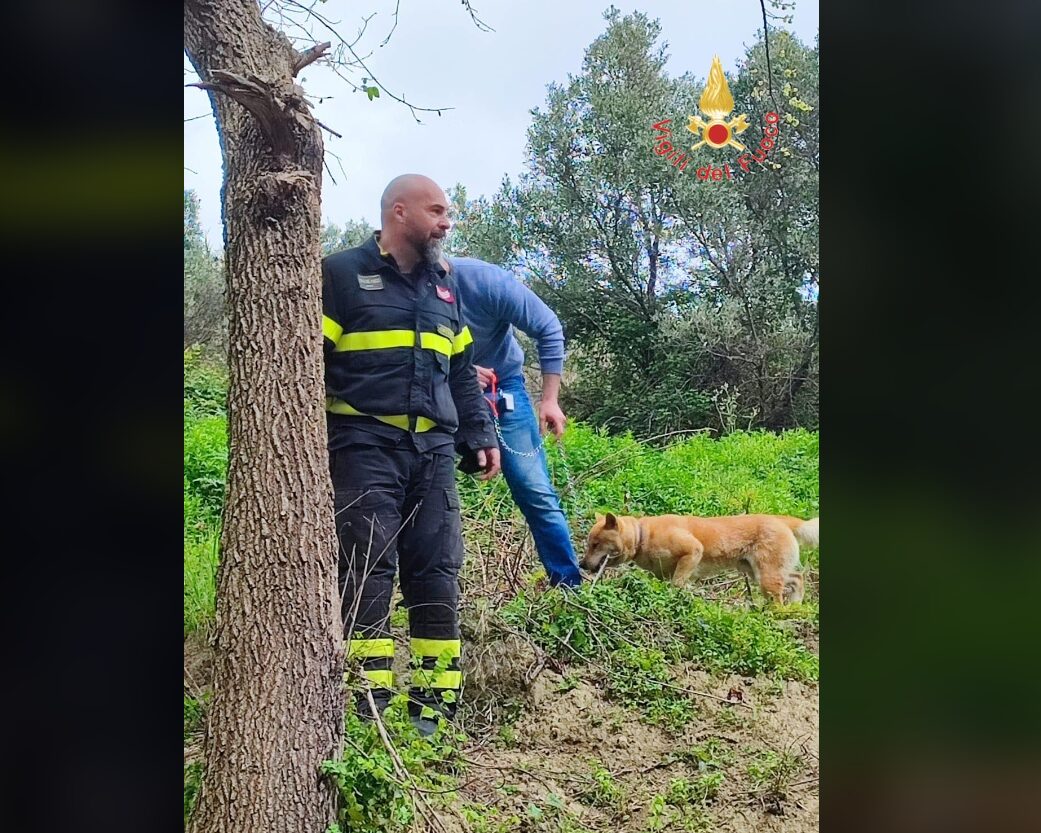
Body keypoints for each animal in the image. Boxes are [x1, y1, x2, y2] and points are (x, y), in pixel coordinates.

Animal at [582, 510, 816, 603]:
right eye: (589, 544)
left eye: (595, 544)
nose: (582, 565)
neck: (643, 535)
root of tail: (781, 520)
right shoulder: (663, 575)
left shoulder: (693, 550)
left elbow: (677, 584)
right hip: (758, 573)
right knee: (797, 578)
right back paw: (795, 605)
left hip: (766, 577)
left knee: (782, 595)